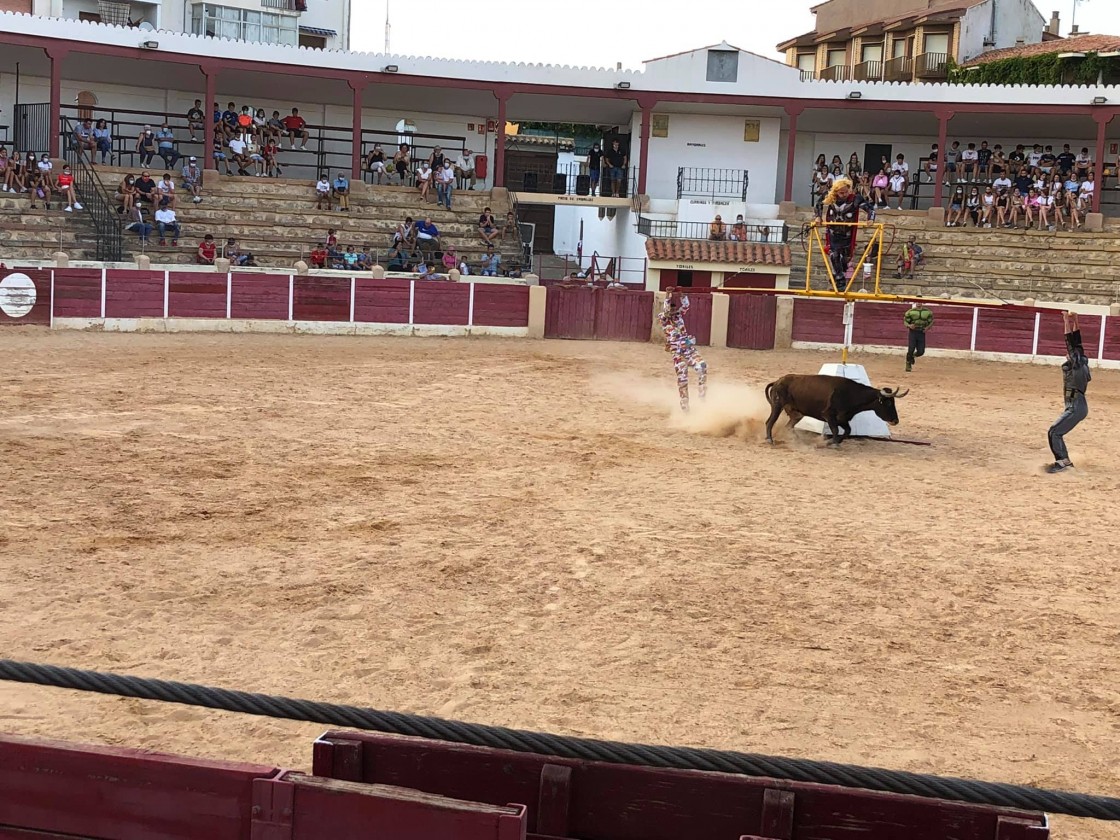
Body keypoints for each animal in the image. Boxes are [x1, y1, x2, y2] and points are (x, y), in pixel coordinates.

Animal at [761, 374, 909, 448]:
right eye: (888, 403)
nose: (895, 420)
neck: (851, 394)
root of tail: (778, 381)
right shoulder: (829, 415)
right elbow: (836, 431)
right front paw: (830, 442)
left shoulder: (843, 419)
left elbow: (847, 431)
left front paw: (831, 442)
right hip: (777, 406)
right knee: (770, 422)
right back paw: (770, 440)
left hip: (797, 414)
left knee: (788, 426)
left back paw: (798, 441)